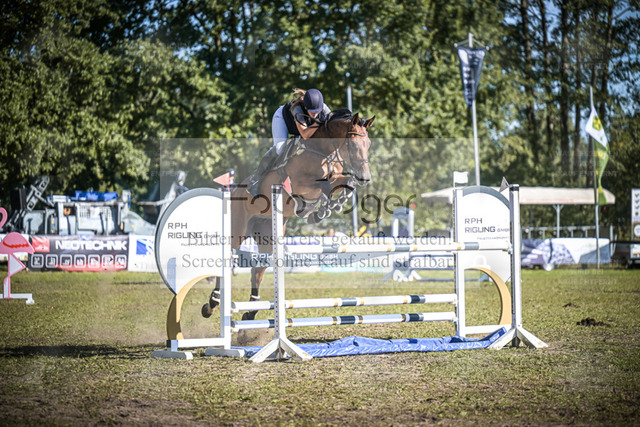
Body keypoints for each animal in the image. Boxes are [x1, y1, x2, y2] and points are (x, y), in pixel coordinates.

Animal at [202, 110, 375, 321]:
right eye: (353, 144)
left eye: (368, 144)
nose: (365, 178)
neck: (323, 152)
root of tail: (233, 191)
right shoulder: (299, 183)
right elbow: (325, 184)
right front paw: (323, 207)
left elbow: (346, 182)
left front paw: (326, 208)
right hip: (237, 231)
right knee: (228, 260)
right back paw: (212, 302)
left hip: (267, 237)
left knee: (257, 270)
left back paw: (251, 311)